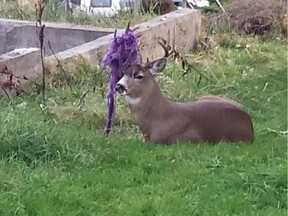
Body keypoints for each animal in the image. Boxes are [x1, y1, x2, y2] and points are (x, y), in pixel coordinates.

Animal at [115, 35, 254, 145]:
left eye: (139, 76)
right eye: (123, 73)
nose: (118, 86)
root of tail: (251, 127)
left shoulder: (188, 140)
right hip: (205, 96)